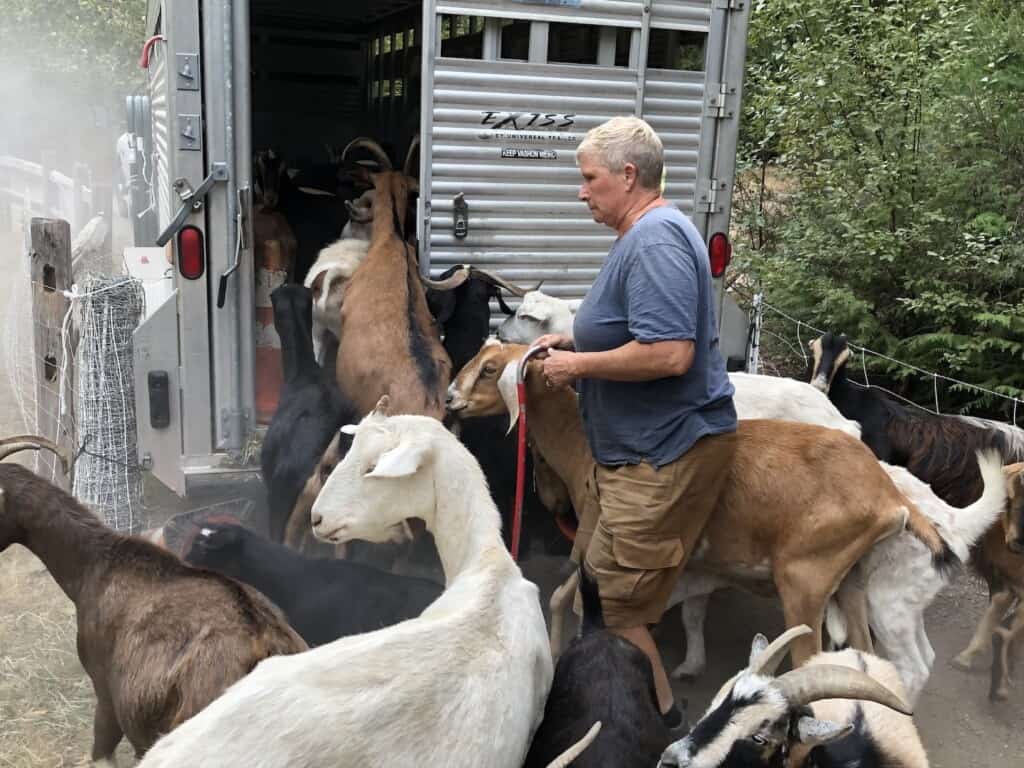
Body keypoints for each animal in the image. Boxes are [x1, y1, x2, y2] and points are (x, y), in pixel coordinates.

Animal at [448, 342, 950, 667]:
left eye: (490, 369)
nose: (451, 399)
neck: (583, 449)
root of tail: (890, 497)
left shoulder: (599, 545)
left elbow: (563, 602)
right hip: (850, 583)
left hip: (806, 581)